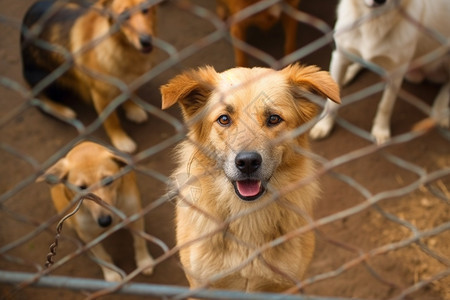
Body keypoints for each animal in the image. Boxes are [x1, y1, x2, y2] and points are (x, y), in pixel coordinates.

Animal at [21, 0, 158, 154]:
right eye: (124, 15)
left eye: (145, 10)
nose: (146, 41)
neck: (122, 47)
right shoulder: (100, 95)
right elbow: (112, 121)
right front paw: (121, 140)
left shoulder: (131, 81)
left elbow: (130, 95)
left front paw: (133, 110)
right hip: (47, 75)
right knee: (37, 98)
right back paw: (62, 111)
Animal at [36, 141, 155, 282]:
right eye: (81, 188)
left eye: (108, 180)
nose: (105, 221)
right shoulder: (87, 235)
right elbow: (102, 256)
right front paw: (111, 274)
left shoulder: (135, 215)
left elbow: (139, 242)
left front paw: (144, 261)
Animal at [310, 0, 450, 144]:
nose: (380, 1)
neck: (373, 21)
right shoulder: (339, 57)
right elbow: (331, 103)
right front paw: (324, 125)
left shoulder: (396, 73)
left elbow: (385, 105)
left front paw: (381, 130)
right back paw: (349, 73)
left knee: (447, 85)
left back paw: (440, 110)